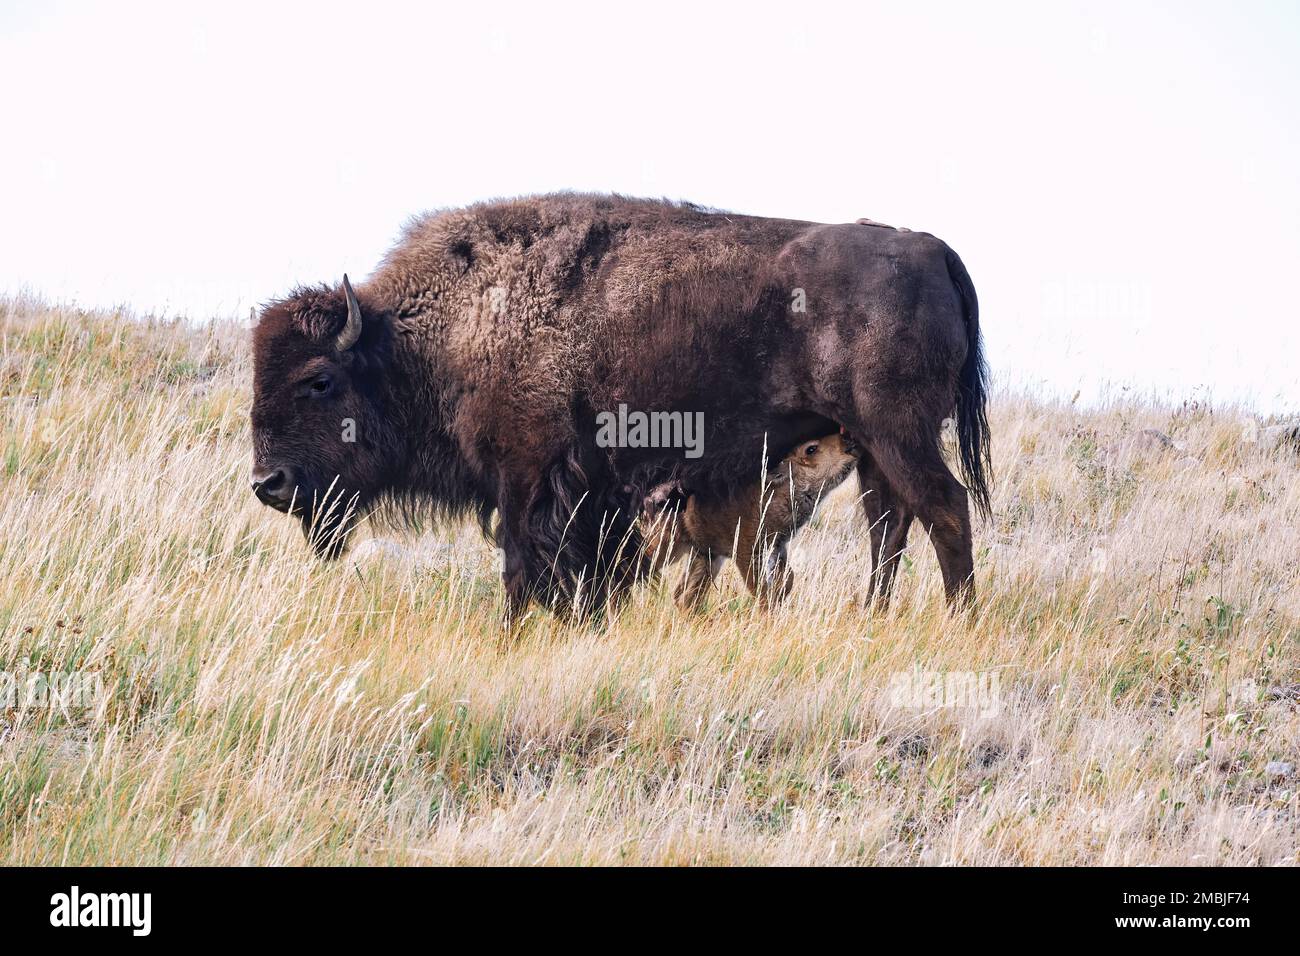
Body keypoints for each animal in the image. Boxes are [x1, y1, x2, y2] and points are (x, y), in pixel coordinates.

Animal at [248, 191, 987, 616]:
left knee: (943, 508)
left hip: (899, 431)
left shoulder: (529, 475)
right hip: (870, 442)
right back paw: (874, 615)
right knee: (890, 523)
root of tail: (932, 248)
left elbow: (522, 563)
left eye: (319, 380)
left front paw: (523, 626)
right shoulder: (592, 489)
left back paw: (959, 617)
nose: (267, 483)